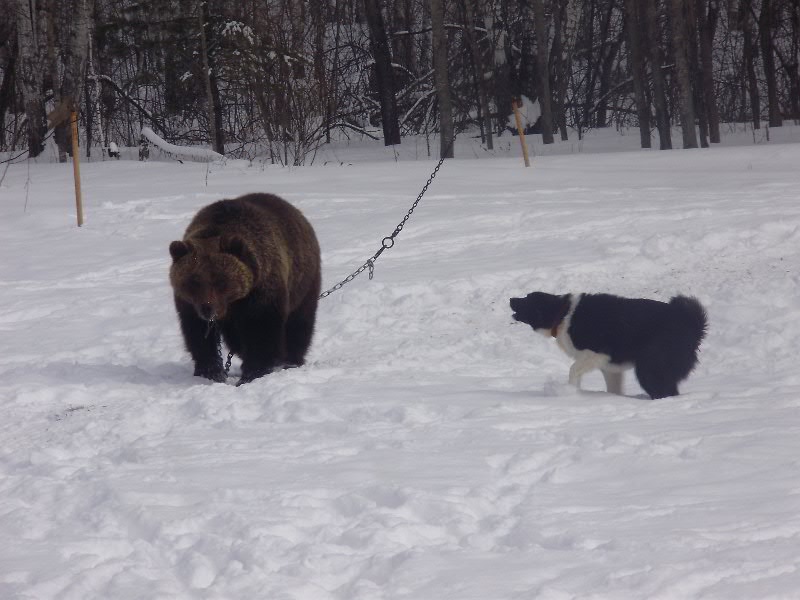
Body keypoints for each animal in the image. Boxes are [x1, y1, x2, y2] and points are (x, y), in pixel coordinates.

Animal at [169, 195, 322, 386]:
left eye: (221, 280)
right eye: (194, 281)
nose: (208, 309)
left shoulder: (261, 293)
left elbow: (261, 332)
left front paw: (252, 373)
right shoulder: (189, 305)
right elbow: (198, 336)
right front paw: (210, 372)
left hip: (302, 281)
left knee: (299, 323)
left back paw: (291, 360)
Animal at [510, 292, 708, 398]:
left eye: (527, 299)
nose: (511, 299)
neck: (563, 314)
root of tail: (692, 324)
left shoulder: (597, 354)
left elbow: (573, 370)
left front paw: (570, 391)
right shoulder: (610, 368)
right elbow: (614, 389)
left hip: (650, 367)